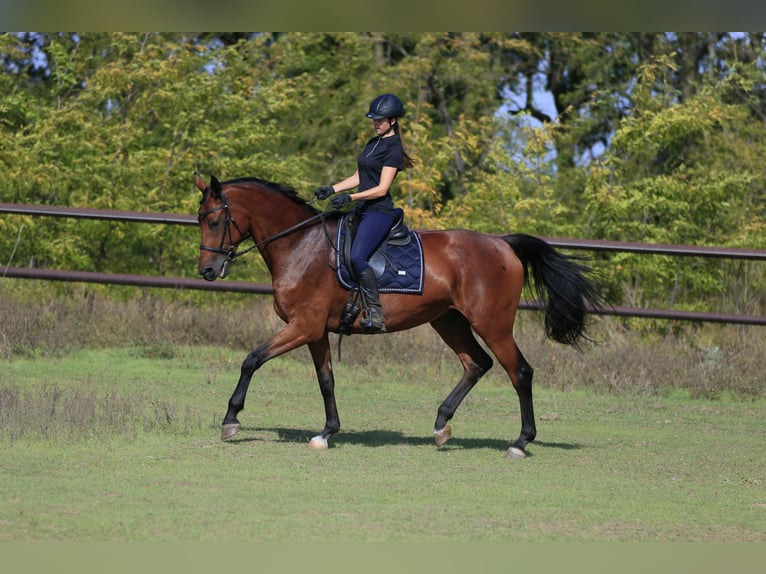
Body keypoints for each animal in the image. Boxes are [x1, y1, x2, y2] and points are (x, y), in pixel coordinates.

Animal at [195, 173, 604, 462]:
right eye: (199, 220)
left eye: (214, 222)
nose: (208, 271)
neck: (301, 246)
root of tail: (502, 244)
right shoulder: (314, 331)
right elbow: (326, 381)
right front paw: (327, 432)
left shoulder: (303, 326)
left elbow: (251, 359)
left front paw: (231, 420)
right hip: (448, 320)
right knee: (476, 363)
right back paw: (441, 425)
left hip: (493, 324)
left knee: (519, 372)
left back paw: (520, 442)